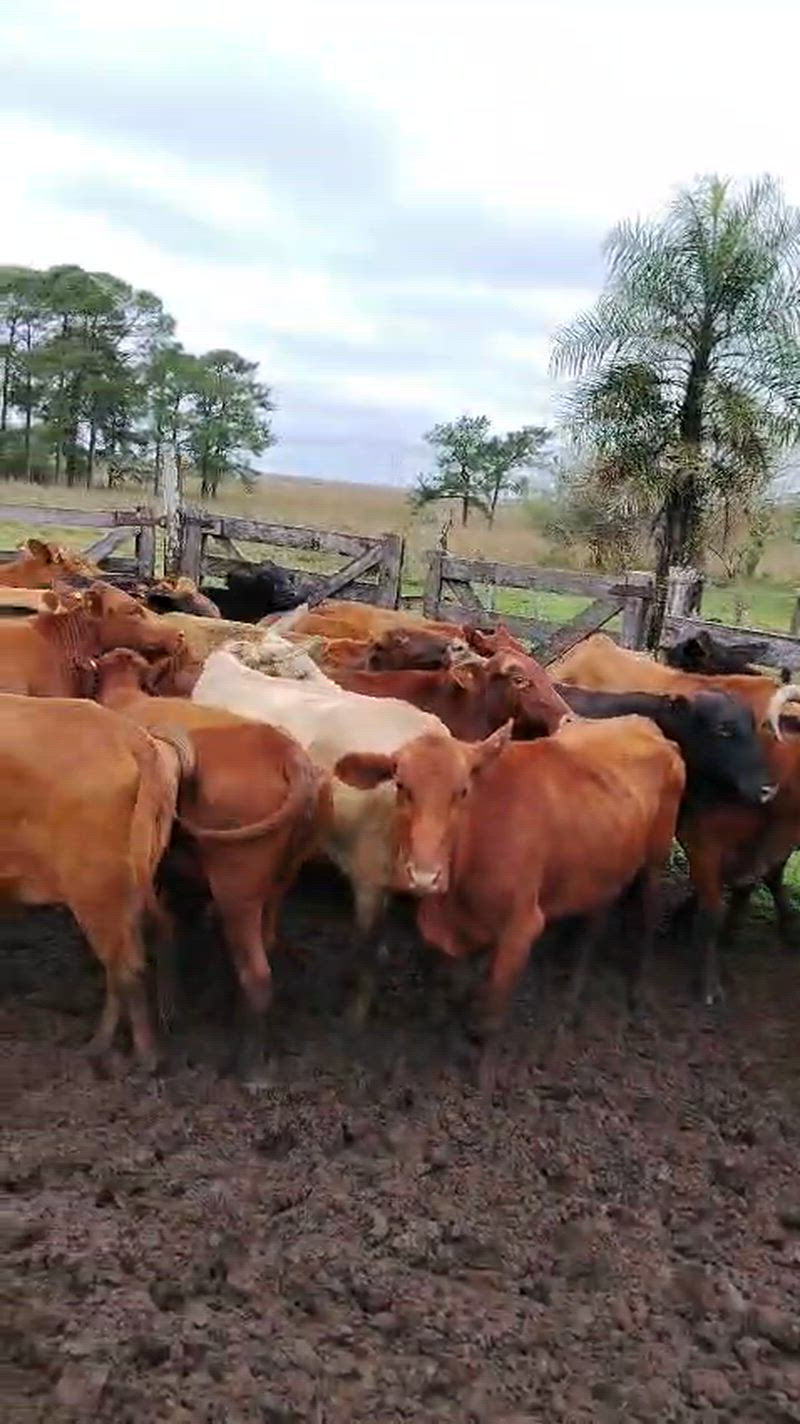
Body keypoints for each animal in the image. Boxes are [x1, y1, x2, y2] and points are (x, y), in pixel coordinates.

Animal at [0, 694, 187, 1069]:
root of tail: (133, 737)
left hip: (94, 886)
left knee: (126, 966)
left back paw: (143, 1058)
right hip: (128, 883)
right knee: (125, 960)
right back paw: (102, 1047)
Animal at [94, 649, 330, 1080]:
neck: (127, 697)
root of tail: (288, 756)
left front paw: (169, 1009)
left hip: (237, 883)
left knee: (257, 972)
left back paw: (250, 1068)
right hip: (278, 879)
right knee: (260, 951)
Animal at [191, 647, 510, 1020]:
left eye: (463, 792)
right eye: (402, 786)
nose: (424, 876)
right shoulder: (368, 879)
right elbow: (366, 949)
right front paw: (356, 1012)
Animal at [411, 716, 685, 1075]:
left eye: (462, 791)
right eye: (401, 786)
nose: (425, 875)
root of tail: (644, 722)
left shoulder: (522, 926)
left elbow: (493, 1011)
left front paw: (483, 1073)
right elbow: (457, 988)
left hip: (656, 857)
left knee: (649, 914)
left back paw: (637, 991)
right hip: (603, 867)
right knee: (595, 924)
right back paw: (572, 997)